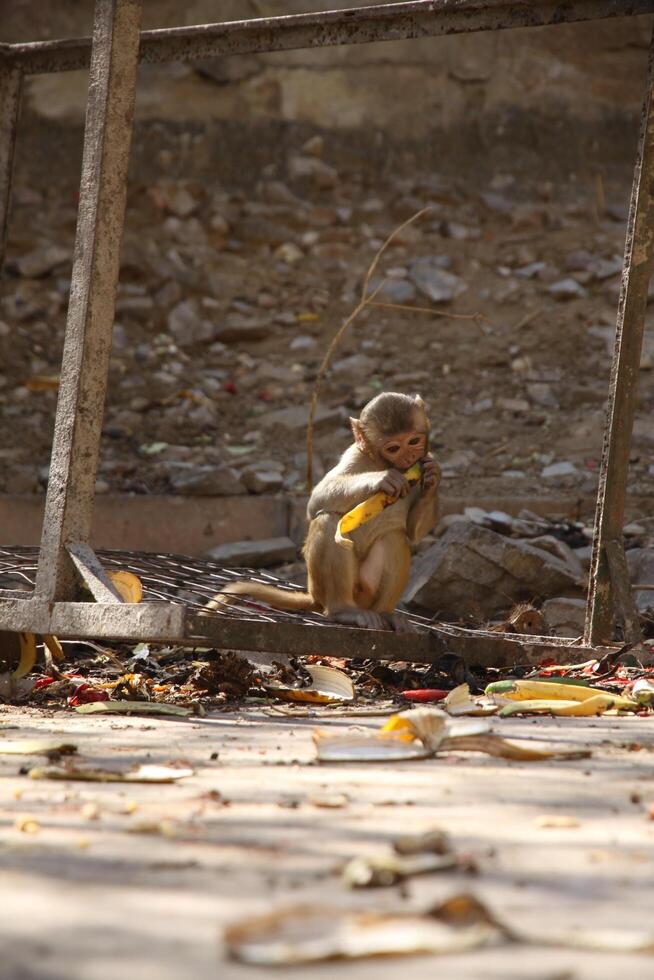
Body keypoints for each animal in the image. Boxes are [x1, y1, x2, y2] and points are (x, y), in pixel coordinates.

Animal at [205, 392, 440, 632]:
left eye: (413, 441)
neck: (380, 462)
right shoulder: (354, 455)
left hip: (366, 594)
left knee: (394, 536)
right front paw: (382, 479)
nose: (409, 458)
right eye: (393, 448)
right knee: (328, 520)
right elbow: (316, 500)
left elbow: (413, 532)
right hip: (326, 588)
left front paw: (433, 477)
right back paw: (343, 610)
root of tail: (314, 597)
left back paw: (385, 613)